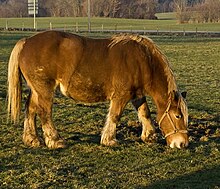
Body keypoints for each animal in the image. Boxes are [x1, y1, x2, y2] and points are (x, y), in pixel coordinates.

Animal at [7, 30, 189, 149]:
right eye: (178, 115)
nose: (183, 143)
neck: (143, 60)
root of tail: (26, 41)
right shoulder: (121, 95)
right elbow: (115, 115)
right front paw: (109, 140)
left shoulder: (137, 94)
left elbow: (145, 113)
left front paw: (149, 136)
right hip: (44, 90)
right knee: (44, 113)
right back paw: (55, 140)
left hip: (36, 89)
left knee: (30, 109)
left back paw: (32, 139)